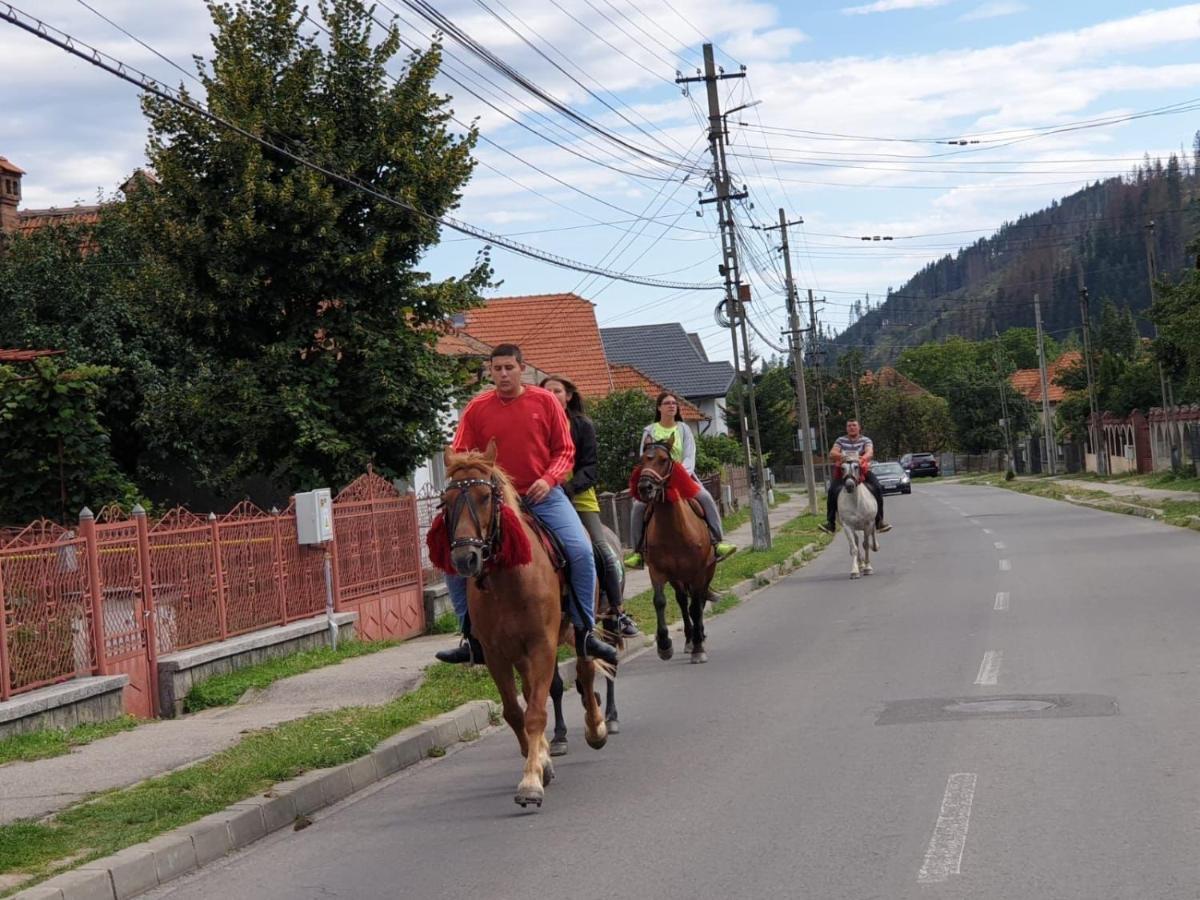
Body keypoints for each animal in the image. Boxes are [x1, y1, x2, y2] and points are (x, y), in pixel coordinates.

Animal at [436, 446, 609, 811]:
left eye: (486, 496)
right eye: (446, 501)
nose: (465, 559)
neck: (508, 580)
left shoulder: (542, 646)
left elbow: (536, 713)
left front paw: (530, 784)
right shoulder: (497, 655)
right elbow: (517, 712)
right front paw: (539, 763)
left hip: (576, 631)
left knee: (585, 672)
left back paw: (596, 728)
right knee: (533, 693)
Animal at [633, 436, 715, 662]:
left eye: (663, 460)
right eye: (642, 459)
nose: (645, 487)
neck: (674, 531)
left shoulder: (698, 572)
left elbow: (696, 607)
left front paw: (699, 649)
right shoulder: (658, 571)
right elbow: (660, 601)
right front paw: (664, 645)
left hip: (706, 573)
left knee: (699, 601)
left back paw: (699, 637)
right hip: (677, 578)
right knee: (682, 601)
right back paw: (689, 639)